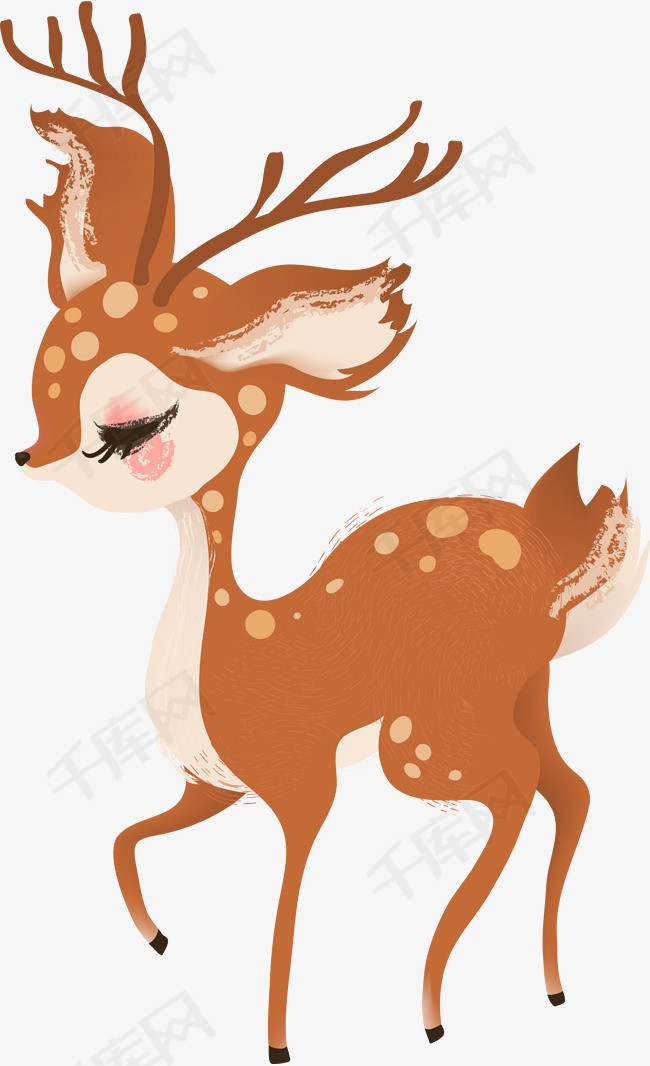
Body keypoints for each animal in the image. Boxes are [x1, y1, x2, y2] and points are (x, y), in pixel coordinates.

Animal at [3, 4, 647, 1062]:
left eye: (128, 429)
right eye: (42, 374)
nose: (24, 459)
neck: (229, 644)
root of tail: (555, 563)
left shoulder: (300, 786)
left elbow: (284, 914)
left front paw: (276, 1040)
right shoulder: (212, 786)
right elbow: (123, 838)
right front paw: (157, 937)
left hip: (423, 736)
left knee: (517, 790)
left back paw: (433, 1004)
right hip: (524, 695)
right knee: (572, 787)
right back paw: (549, 989)